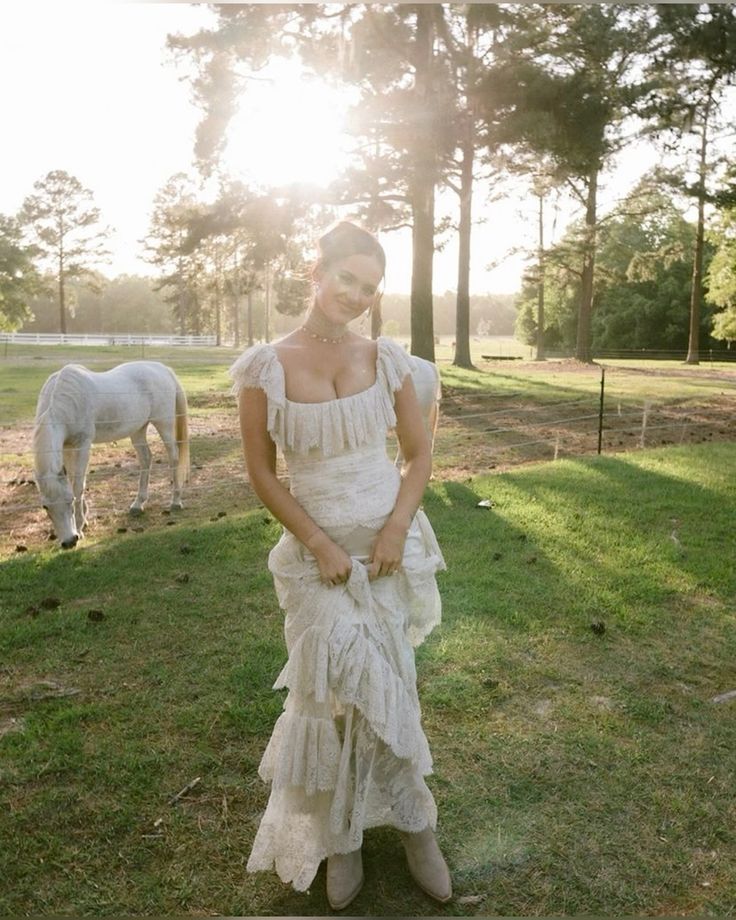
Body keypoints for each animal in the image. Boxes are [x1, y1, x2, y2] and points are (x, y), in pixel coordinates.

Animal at [34, 360, 190, 548]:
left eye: (69, 500)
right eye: (46, 507)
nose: (69, 541)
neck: (64, 402)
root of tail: (163, 369)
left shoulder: (83, 445)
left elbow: (78, 485)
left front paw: (80, 525)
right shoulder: (67, 447)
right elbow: (73, 478)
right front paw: (84, 519)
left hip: (164, 425)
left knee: (174, 457)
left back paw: (176, 501)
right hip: (138, 430)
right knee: (146, 459)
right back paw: (138, 504)